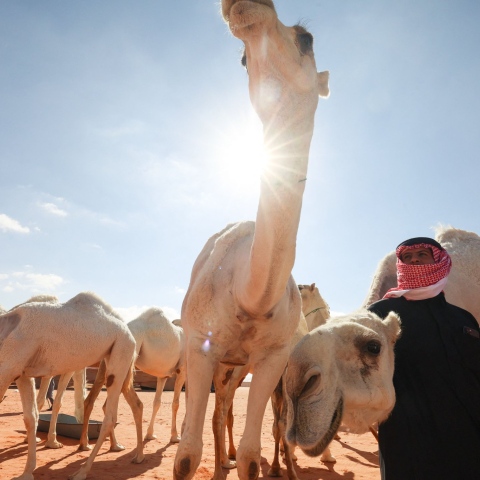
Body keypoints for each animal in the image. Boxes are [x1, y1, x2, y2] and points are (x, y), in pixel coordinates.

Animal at [0, 290, 142, 478]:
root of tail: (129, 331)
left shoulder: (8, 368)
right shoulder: (21, 374)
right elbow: (31, 417)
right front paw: (27, 473)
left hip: (121, 351)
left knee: (110, 417)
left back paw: (81, 472)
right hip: (114, 359)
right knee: (131, 404)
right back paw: (136, 456)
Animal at [78, 306, 185, 456]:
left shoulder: (162, 376)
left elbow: (157, 402)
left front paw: (150, 435)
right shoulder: (183, 370)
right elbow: (176, 404)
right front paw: (175, 437)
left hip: (108, 361)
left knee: (92, 400)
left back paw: (91, 445)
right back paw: (115, 446)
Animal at [173, 1, 330, 478]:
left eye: (306, 39)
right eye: (242, 60)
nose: (246, 6)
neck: (249, 295)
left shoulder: (272, 359)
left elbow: (251, 455)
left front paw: (247, 461)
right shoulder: (198, 348)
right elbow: (185, 455)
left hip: (236, 367)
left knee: (225, 407)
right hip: (216, 362)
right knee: (217, 410)